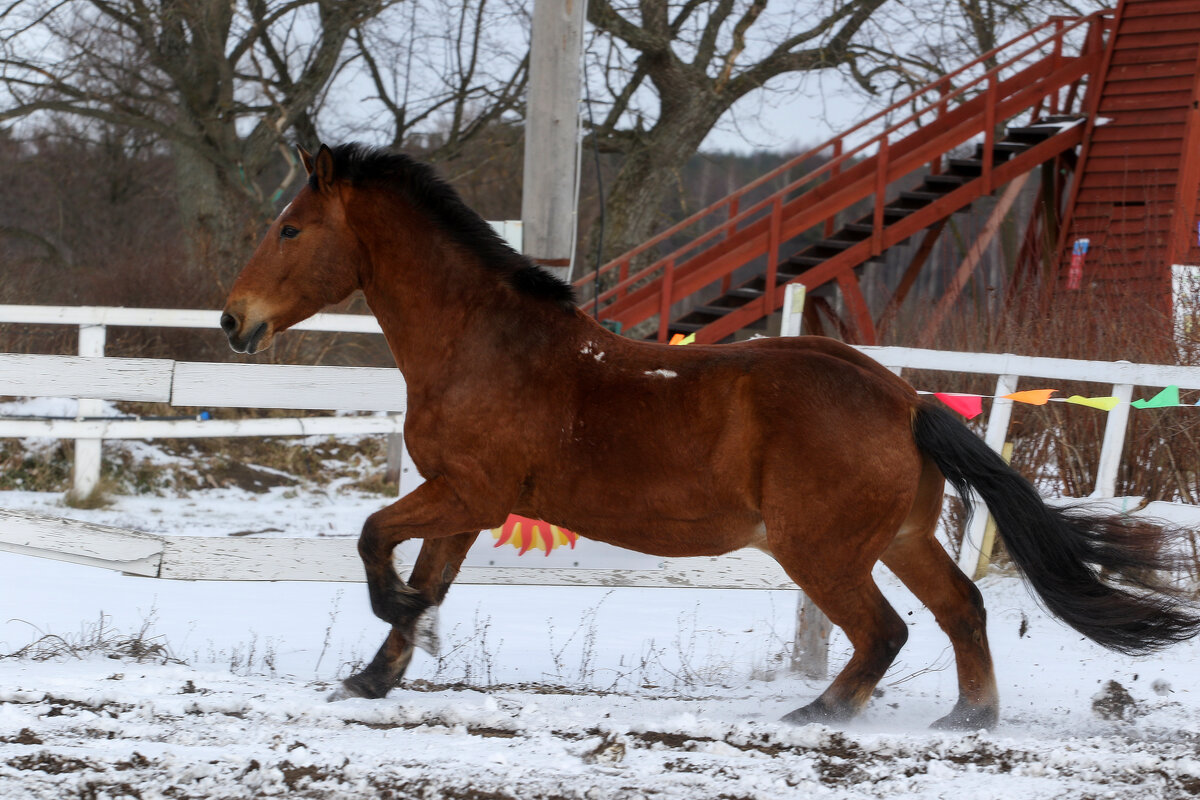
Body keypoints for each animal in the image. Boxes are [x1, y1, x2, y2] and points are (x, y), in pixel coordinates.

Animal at [225, 140, 1200, 729]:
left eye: (290, 228)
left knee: (885, 631)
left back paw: (820, 714)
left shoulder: (470, 492)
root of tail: (901, 399)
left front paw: (393, 619)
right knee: (961, 608)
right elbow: (424, 575)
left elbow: (373, 537)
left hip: (820, 550)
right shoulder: (465, 505)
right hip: (900, 537)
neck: (484, 345)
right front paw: (376, 672)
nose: (234, 321)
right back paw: (968, 719)